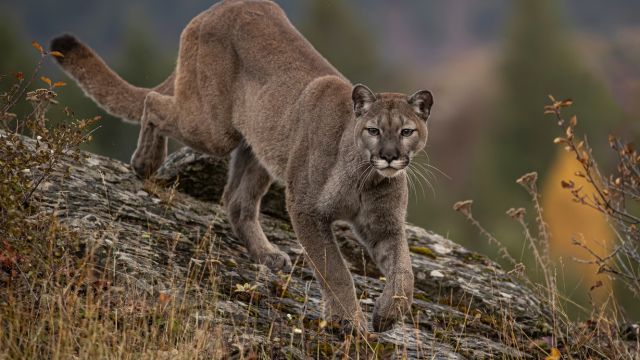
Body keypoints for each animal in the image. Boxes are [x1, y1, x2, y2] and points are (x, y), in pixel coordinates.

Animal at [48, 0, 430, 334]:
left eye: (406, 131)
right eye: (374, 130)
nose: (390, 155)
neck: (365, 177)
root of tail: (219, 7)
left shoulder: (384, 225)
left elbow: (404, 271)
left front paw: (388, 314)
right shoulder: (307, 209)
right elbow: (334, 269)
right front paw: (349, 322)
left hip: (258, 146)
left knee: (237, 200)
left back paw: (267, 254)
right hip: (213, 129)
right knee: (154, 102)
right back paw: (145, 162)